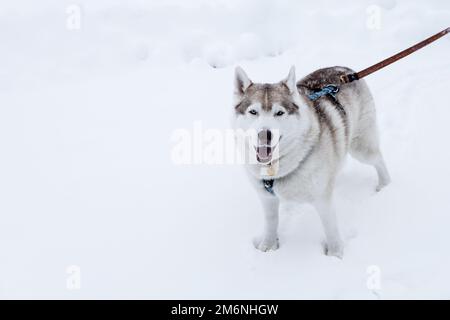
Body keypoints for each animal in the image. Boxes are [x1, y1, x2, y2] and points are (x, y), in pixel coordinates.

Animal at [232, 65, 390, 258]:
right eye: (253, 112)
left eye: (279, 112)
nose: (264, 134)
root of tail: (346, 70)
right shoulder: (267, 198)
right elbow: (271, 223)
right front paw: (268, 247)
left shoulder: (322, 200)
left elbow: (330, 229)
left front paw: (335, 255)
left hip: (361, 148)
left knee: (378, 159)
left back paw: (385, 185)